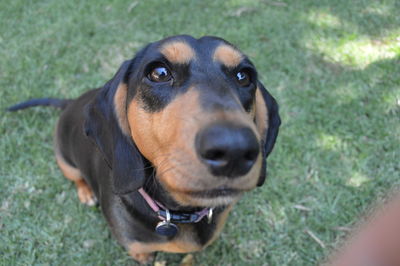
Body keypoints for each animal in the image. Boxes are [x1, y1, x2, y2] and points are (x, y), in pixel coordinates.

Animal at [7, 34, 280, 262]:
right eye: (159, 72)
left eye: (244, 76)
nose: (235, 149)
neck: (178, 212)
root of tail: (70, 103)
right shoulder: (140, 252)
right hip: (66, 161)